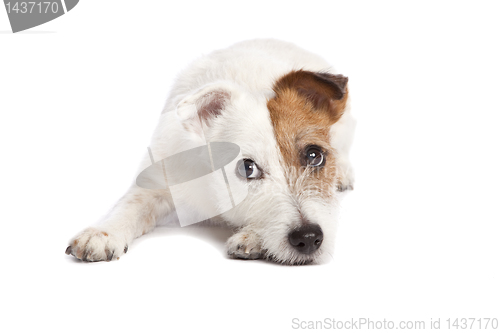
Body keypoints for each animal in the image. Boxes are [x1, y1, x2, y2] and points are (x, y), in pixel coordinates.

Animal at [65, 38, 356, 264]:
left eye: (314, 155)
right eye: (247, 168)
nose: (309, 238)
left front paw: (253, 236)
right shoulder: (160, 177)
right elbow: (132, 205)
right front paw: (103, 232)